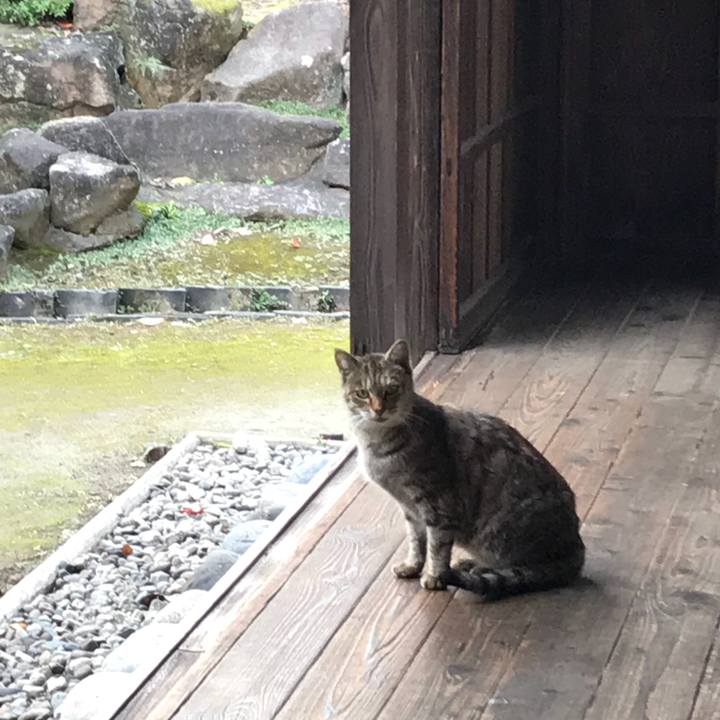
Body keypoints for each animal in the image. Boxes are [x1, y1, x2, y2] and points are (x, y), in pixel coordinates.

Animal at [334, 339, 585, 600]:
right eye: (362, 393)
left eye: (391, 389)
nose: (379, 410)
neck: (377, 443)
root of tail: (577, 549)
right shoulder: (410, 509)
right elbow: (416, 542)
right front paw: (412, 566)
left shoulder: (439, 506)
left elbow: (437, 547)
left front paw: (435, 577)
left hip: (501, 535)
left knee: (522, 568)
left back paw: (477, 568)